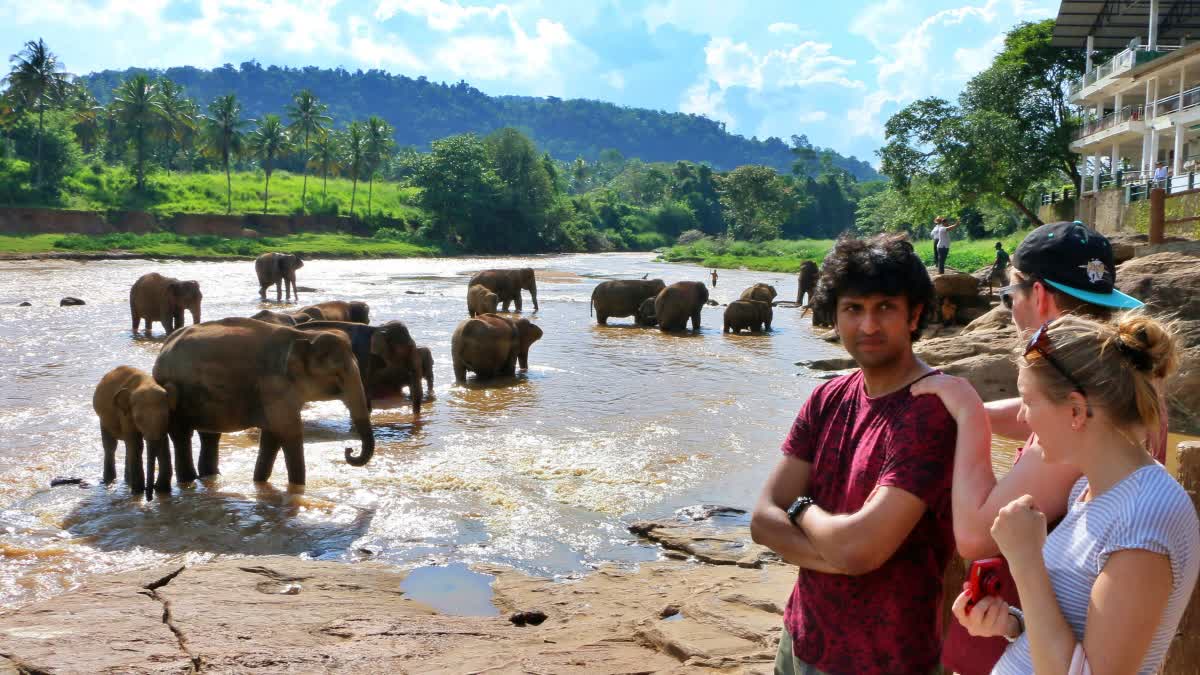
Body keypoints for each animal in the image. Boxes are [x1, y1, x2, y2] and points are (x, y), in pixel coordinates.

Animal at [93, 365, 176, 497]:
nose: (150, 490)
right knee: (111, 446)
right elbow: (137, 444)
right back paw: (109, 481)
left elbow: (163, 442)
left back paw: (128, 481)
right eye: (138, 419)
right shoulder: (126, 414)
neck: (146, 382)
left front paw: (162, 489)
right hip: (103, 418)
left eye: (166, 416)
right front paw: (138, 491)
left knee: (128, 447)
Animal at [153, 314, 374, 482]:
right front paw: (297, 488)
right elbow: (288, 432)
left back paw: (210, 477)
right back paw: (188, 480)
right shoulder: (274, 386)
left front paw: (259, 481)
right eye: (337, 375)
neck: (303, 336)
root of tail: (164, 347)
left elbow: (271, 437)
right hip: (173, 393)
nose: (349, 450)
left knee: (209, 436)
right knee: (182, 435)